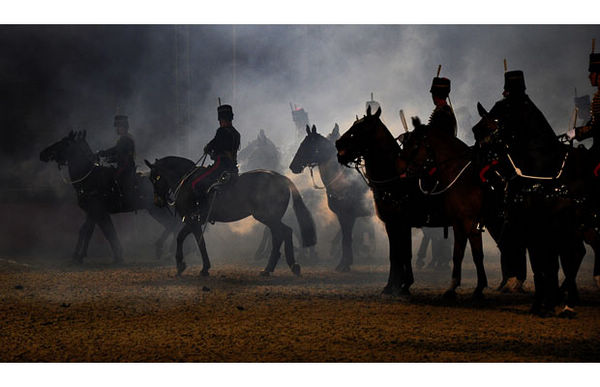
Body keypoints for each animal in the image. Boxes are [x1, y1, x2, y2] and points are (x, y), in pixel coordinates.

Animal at [39, 130, 179, 264]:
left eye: (63, 143)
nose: (42, 153)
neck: (88, 177)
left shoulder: (97, 211)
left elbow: (92, 231)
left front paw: (79, 256)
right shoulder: (95, 213)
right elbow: (99, 231)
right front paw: (115, 255)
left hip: (156, 209)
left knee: (172, 224)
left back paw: (162, 249)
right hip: (156, 210)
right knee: (172, 225)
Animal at [144, 156, 318, 278]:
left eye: (155, 178)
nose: (158, 202)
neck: (187, 183)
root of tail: (282, 178)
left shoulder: (193, 220)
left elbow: (197, 242)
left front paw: (198, 267)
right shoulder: (193, 221)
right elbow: (182, 238)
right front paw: (184, 265)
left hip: (267, 217)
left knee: (282, 234)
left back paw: (274, 267)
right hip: (270, 218)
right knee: (282, 234)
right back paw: (287, 266)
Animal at [290, 125, 376, 272]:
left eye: (307, 146)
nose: (292, 166)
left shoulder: (348, 216)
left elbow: (346, 239)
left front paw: (344, 264)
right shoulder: (342, 216)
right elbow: (345, 238)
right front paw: (345, 263)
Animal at [338, 106, 488, 300]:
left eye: (362, 128)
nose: (338, 144)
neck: (394, 178)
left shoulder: (398, 223)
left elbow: (400, 255)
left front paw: (398, 286)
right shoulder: (397, 224)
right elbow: (399, 254)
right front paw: (397, 285)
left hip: (466, 221)